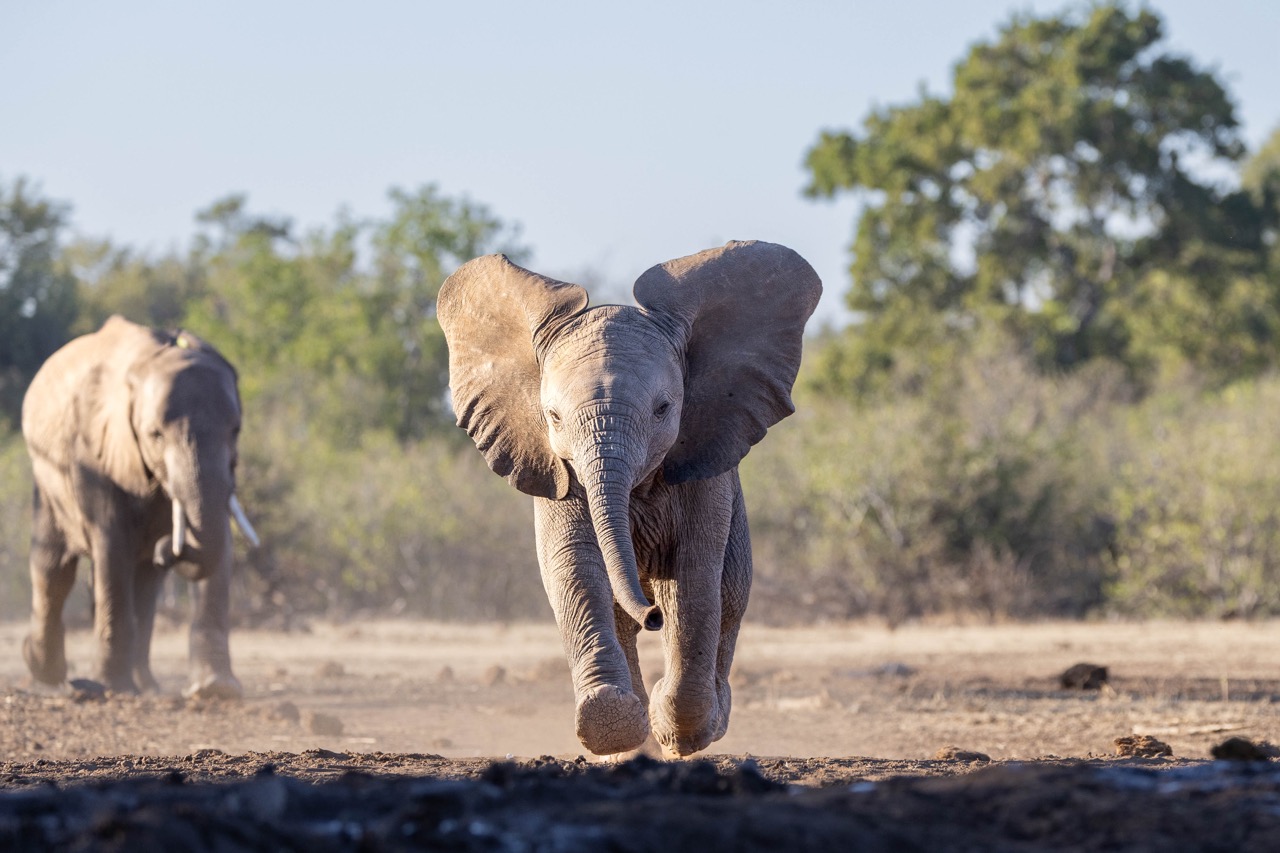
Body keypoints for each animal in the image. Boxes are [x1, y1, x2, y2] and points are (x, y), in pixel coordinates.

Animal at [20, 315, 257, 696]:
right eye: (155, 435)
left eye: (235, 430)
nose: (167, 549)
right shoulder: (95, 454)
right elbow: (111, 546)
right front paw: (113, 688)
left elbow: (219, 542)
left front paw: (216, 689)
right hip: (47, 476)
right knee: (54, 569)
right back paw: (47, 672)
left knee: (145, 586)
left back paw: (147, 686)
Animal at [440, 236, 819, 753]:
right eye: (552, 417)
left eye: (663, 409)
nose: (651, 615)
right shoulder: (560, 472)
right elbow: (575, 568)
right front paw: (613, 725)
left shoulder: (703, 470)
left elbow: (692, 581)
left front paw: (672, 724)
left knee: (729, 596)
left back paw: (705, 717)